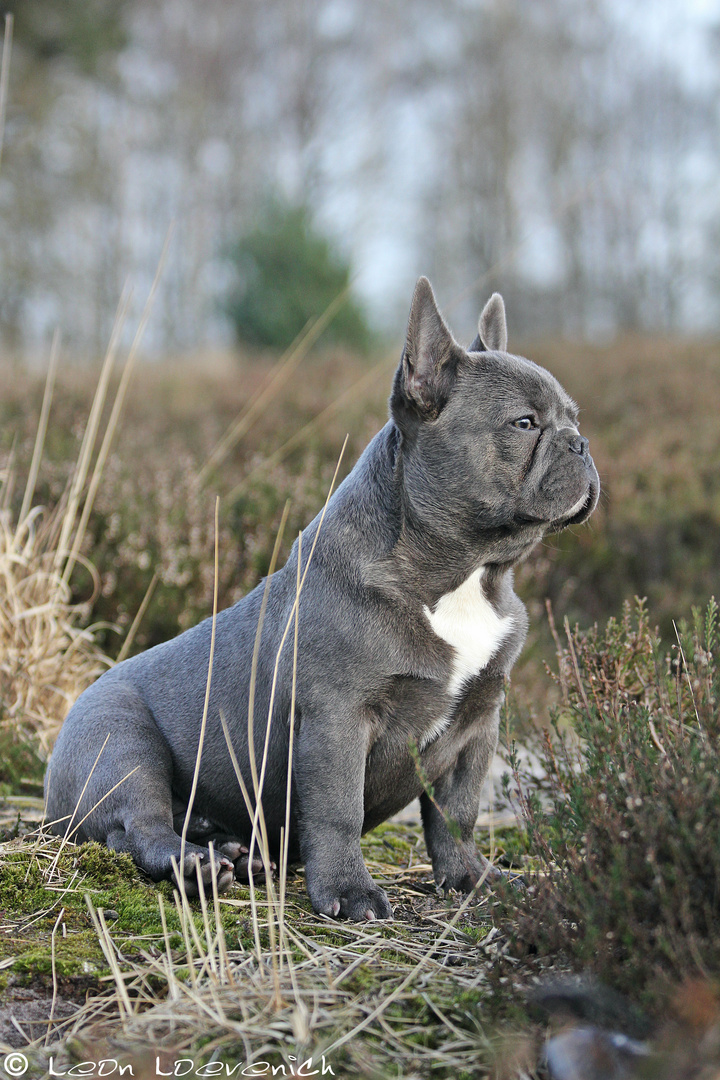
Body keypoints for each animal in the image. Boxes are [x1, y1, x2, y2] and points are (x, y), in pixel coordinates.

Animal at [43, 278, 595, 920]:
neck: (462, 578)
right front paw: (349, 893)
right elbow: (338, 810)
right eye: (525, 423)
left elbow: (457, 814)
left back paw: (240, 854)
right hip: (121, 743)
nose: (581, 443)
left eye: (573, 419)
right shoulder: (338, 717)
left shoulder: (477, 724)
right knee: (139, 827)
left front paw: (473, 880)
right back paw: (197, 864)